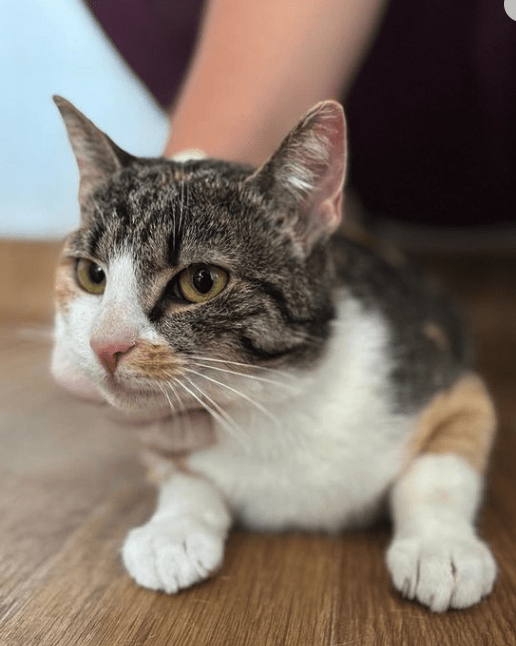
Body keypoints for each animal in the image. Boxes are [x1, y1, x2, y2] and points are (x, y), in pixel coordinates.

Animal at [51, 95, 496, 612]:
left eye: (201, 281)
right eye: (92, 275)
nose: (105, 344)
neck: (266, 400)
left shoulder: (441, 375)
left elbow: (441, 470)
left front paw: (441, 548)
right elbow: (182, 476)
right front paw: (172, 532)